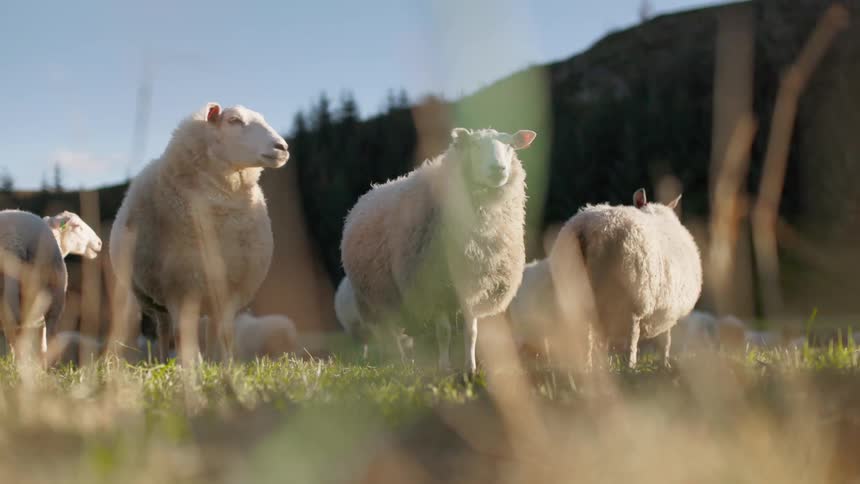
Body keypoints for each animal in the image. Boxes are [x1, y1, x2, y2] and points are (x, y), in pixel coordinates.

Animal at [0, 210, 102, 362]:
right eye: (77, 226)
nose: (99, 243)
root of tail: (13, 243)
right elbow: (42, 339)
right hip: (51, 293)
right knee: (48, 332)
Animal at [109, 102, 289, 361]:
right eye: (234, 120)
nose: (282, 147)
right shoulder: (179, 289)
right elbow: (182, 336)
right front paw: (191, 366)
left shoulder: (230, 288)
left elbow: (225, 334)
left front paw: (227, 366)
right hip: (152, 300)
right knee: (164, 330)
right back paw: (163, 361)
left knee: (210, 331)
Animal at [341, 127, 536, 372]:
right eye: (475, 145)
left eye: (510, 145)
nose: (498, 169)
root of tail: (369, 193)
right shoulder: (434, 288)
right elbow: (443, 333)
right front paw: (445, 368)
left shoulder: (471, 286)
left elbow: (471, 332)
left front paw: (470, 369)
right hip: (376, 298)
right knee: (390, 335)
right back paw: (400, 364)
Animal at [551, 187, 703, 369]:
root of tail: (587, 230)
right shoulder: (668, 310)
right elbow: (666, 340)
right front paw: (665, 363)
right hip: (632, 297)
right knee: (632, 338)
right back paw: (630, 366)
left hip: (578, 297)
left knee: (586, 338)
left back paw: (589, 366)